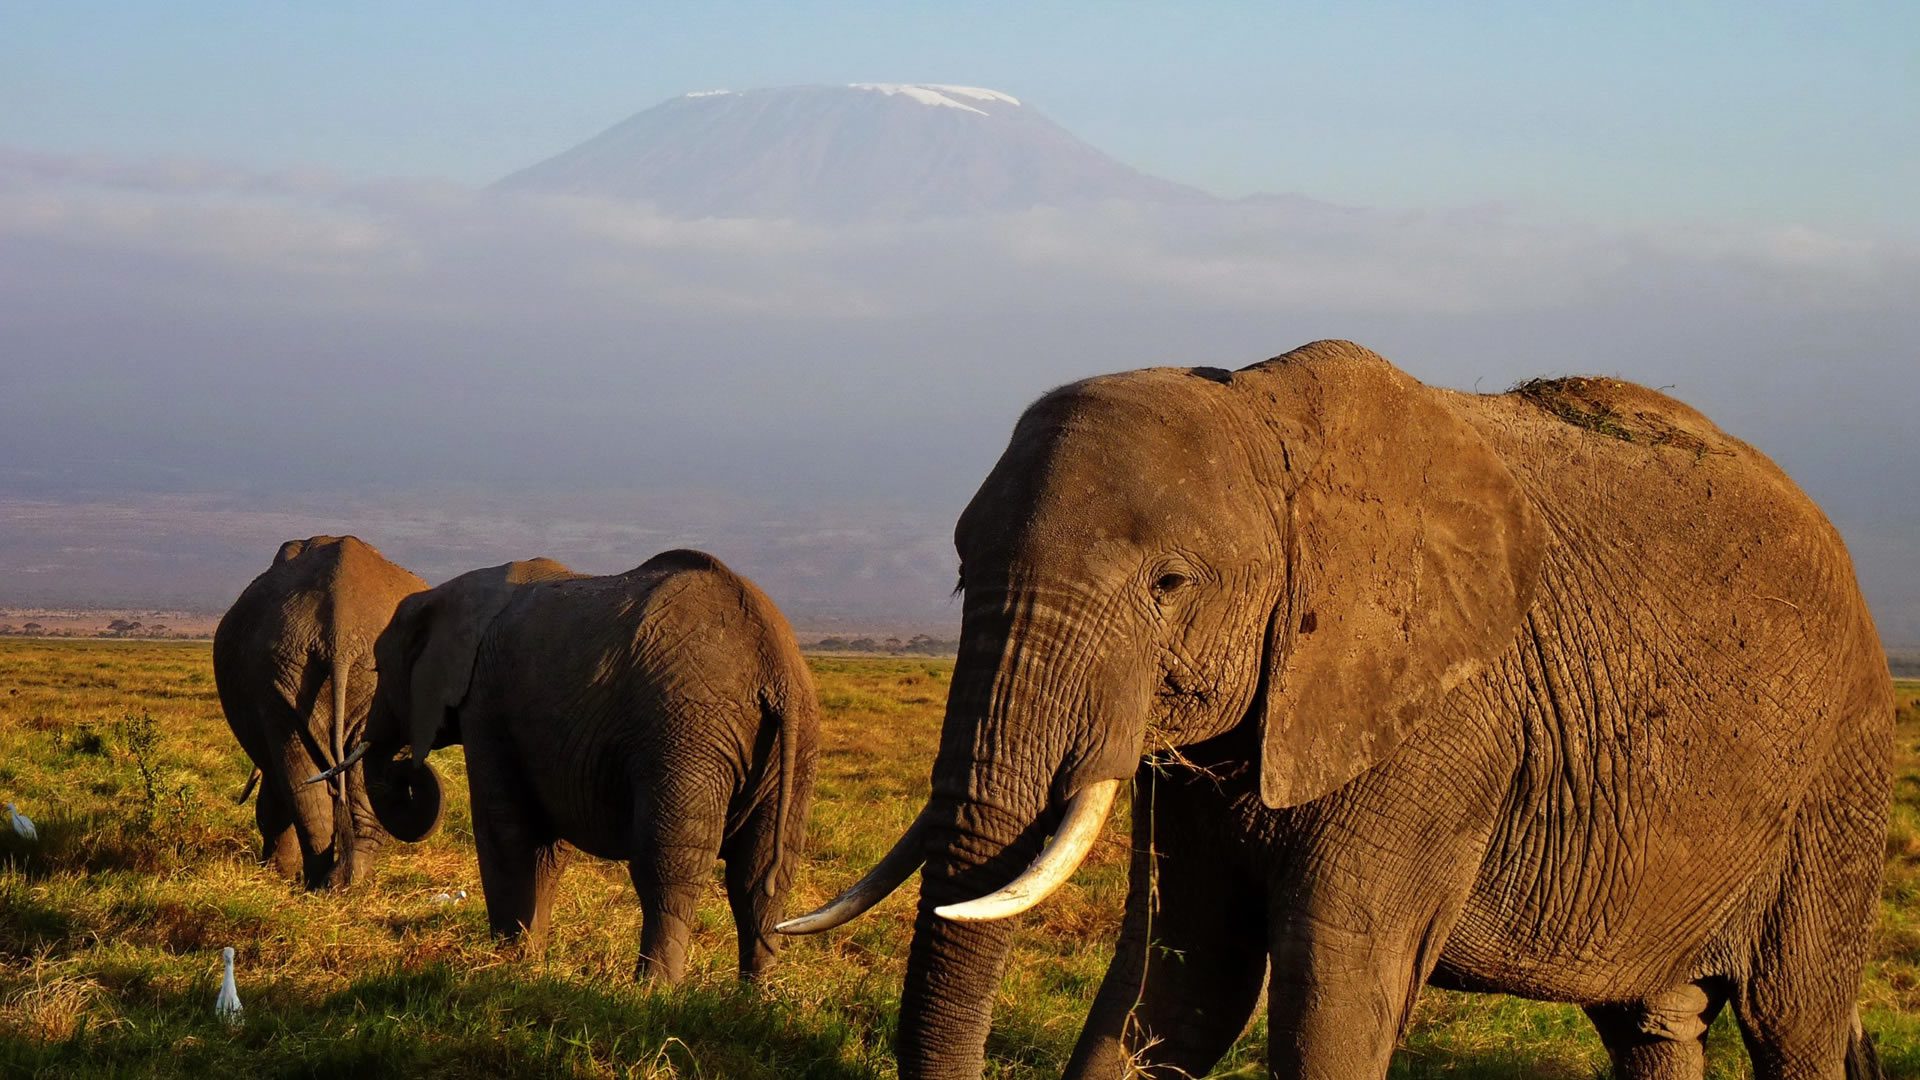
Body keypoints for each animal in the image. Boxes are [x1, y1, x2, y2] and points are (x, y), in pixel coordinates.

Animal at [213, 535, 434, 889]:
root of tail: (340, 631)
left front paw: (274, 872)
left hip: (286, 672)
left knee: (301, 780)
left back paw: (321, 883)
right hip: (294, 670)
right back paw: (339, 883)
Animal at [343, 549, 820, 984]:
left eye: (379, 668)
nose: (406, 765)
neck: (449, 594)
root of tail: (774, 663)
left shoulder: (486, 704)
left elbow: (506, 831)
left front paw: (505, 962)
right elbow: (546, 848)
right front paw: (528, 960)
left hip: (687, 736)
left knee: (670, 867)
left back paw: (652, 990)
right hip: (792, 746)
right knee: (761, 877)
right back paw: (754, 996)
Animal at [783, 341, 1893, 1079]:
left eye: (1169, 584)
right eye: (960, 570)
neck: (1268, 428)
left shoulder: (1440, 728)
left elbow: (1334, 987)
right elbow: (1180, 976)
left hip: (1840, 781)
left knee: (1792, 1021)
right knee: (1655, 1025)